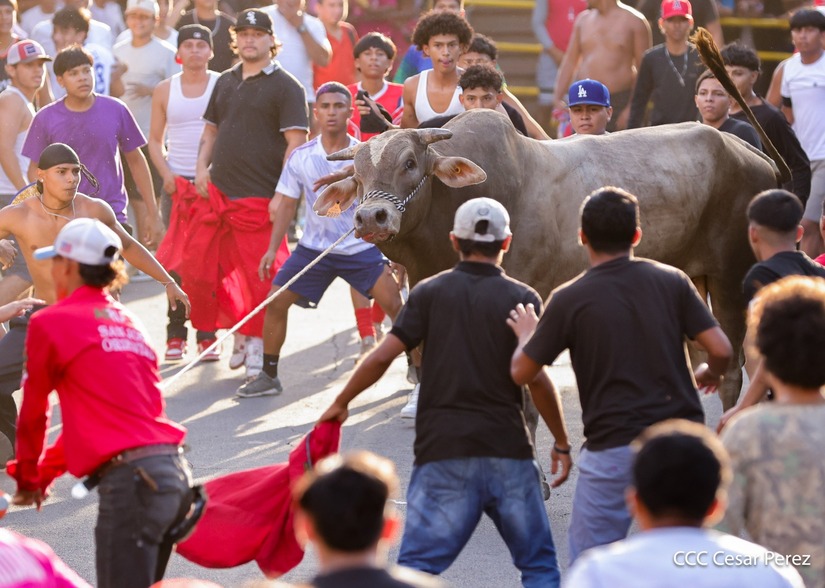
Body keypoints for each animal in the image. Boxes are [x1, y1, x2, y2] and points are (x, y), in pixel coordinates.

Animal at [314, 109, 778, 409]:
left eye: (410, 162)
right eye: (356, 175)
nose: (370, 217)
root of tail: (752, 152)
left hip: (731, 275)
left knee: (732, 373)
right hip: (689, 277)